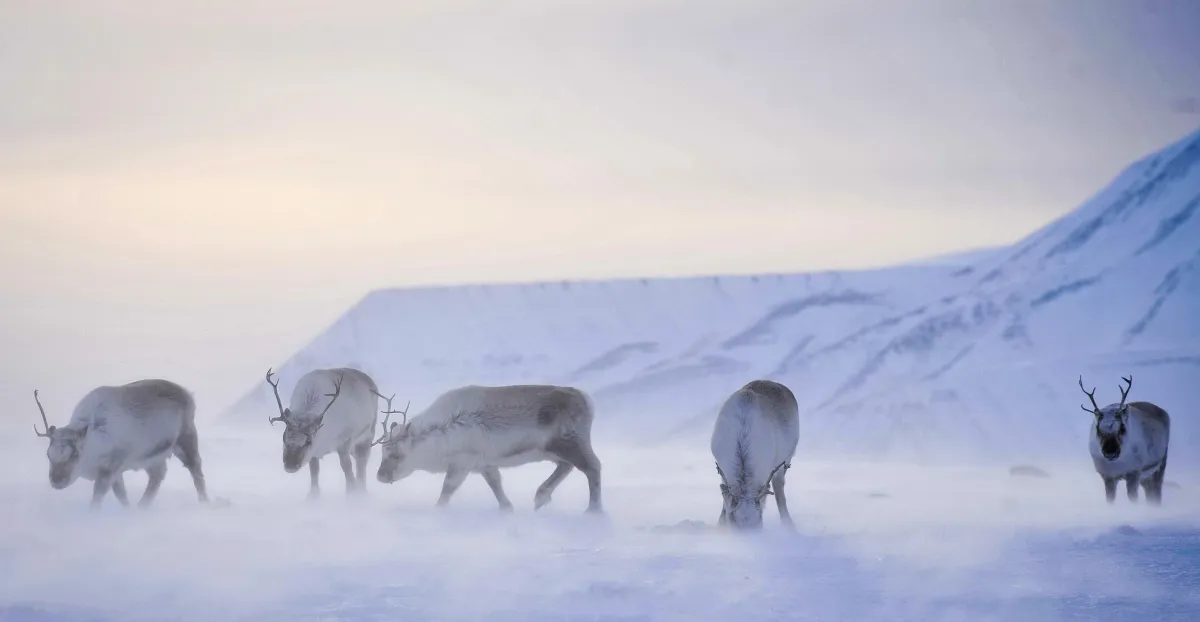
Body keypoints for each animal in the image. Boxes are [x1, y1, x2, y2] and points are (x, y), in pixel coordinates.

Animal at [32, 379, 209, 509]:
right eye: (48, 454)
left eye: (74, 454)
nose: (57, 481)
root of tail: (188, 394)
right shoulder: (116, 472)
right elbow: (121, 495)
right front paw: (127, 510)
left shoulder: (109, 468)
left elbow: (98, 498)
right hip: (153, 456)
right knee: (158, 475)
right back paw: (141, 507)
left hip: (185, 439)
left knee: (196, 469)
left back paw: (204, 502)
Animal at [265, 367, 386, 499]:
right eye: (284, 438)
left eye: (308, 441)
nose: (290, 467)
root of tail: (370, 380)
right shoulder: (314, 452)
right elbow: (314, 471)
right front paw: (313, 496)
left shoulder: (345, 441)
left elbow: (346, 467)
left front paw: (352, 492)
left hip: (367, 434)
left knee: (361, 461)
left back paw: (362, 489)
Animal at [373, 384, 603, 514]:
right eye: (382, 453)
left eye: (397, 454)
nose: (380, 476)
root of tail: (589, 402)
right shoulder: (484, 463)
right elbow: (496, 485)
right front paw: (507, 508)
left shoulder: (462, 462)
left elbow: (447, 488)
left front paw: (438, 511)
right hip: (553, 450)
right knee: (567, 466)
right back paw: (540, 497)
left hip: (570, 442)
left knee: (593, 467)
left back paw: (593, 510)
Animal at [711, 380, 799, 530]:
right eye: (733, 522)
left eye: (759, 523)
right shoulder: (721, 468)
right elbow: (725, 500)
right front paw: (720, 525)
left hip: (786, 461)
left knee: (779, 487)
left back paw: (788, 523)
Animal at [1079, 375, 1170, 505]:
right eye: (1098, 430)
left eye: (1122, 428)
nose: (1110, 453)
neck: (1118, 466)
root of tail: (1164, 412)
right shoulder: (1107, 476)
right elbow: (1110, 500)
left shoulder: (1134, 472)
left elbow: (1133, 498)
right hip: (1146, 477)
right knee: (1150, 493)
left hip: (1160, 465)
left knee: (1156, 492)